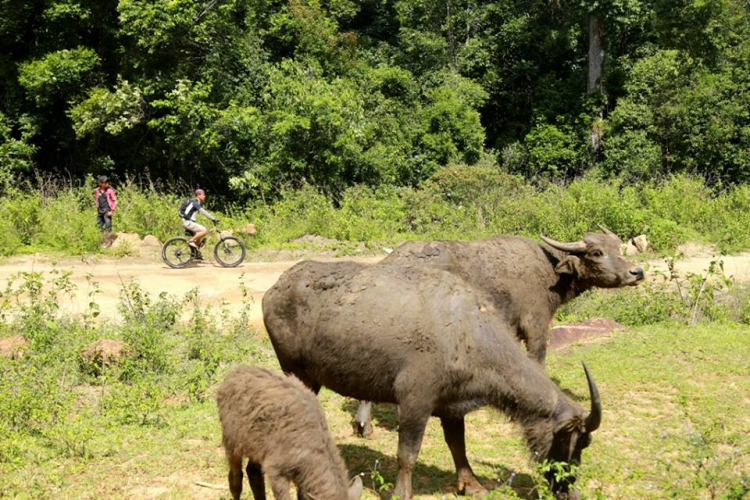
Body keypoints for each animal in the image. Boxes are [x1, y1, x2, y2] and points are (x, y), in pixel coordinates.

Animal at [216, 366, 366, 500]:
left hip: (256, 446)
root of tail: (236, 372)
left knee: (253, 473)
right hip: (232, 443)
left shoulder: (302, 478)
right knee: (236, 477)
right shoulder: (276, 471)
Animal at [264, 264, 604, 498]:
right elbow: (407, 454)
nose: (569, 491)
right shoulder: (415, 401)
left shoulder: (452, 406)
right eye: (575, 444)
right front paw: (402, 493)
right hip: (295, 372)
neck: (466, 333)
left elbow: (458, 446)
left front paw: (472, 484)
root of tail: (275, 288)